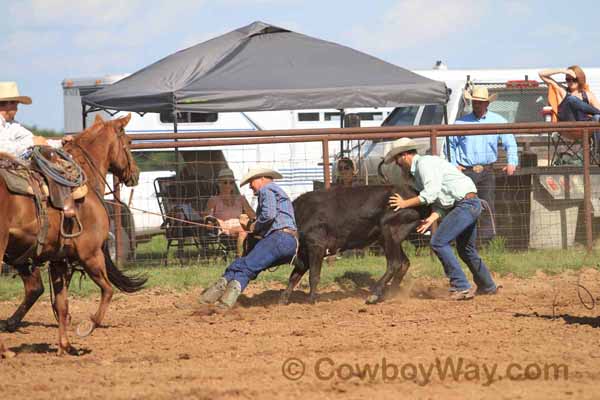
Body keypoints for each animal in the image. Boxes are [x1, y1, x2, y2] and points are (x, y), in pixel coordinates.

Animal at [0, 114, 145, 354]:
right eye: (130, 141)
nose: (135, 174)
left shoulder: (58, 260)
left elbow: (61, 304)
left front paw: (65, 346)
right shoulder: (91, 255)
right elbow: (108, 290)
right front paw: (87, 326)